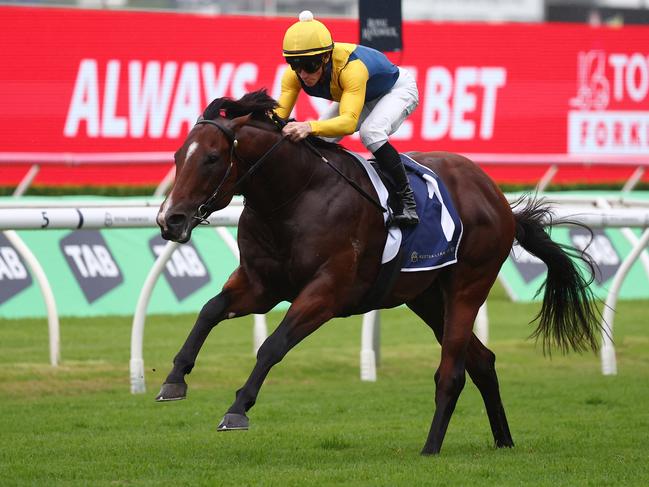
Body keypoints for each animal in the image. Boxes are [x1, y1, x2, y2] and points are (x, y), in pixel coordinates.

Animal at [153, 89, 596, 456]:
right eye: (177, 157)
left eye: (211, 159)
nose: (170, 220)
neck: (296, 194)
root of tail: (497, 198)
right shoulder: (261, 285)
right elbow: (210, 310)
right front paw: (174, 379)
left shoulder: (327, 292)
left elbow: (273, 345)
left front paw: (237, 409)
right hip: (427, 298)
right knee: (482, 361)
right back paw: (503, 440)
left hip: (469, 285)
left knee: (452, 371)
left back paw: (430, 448)